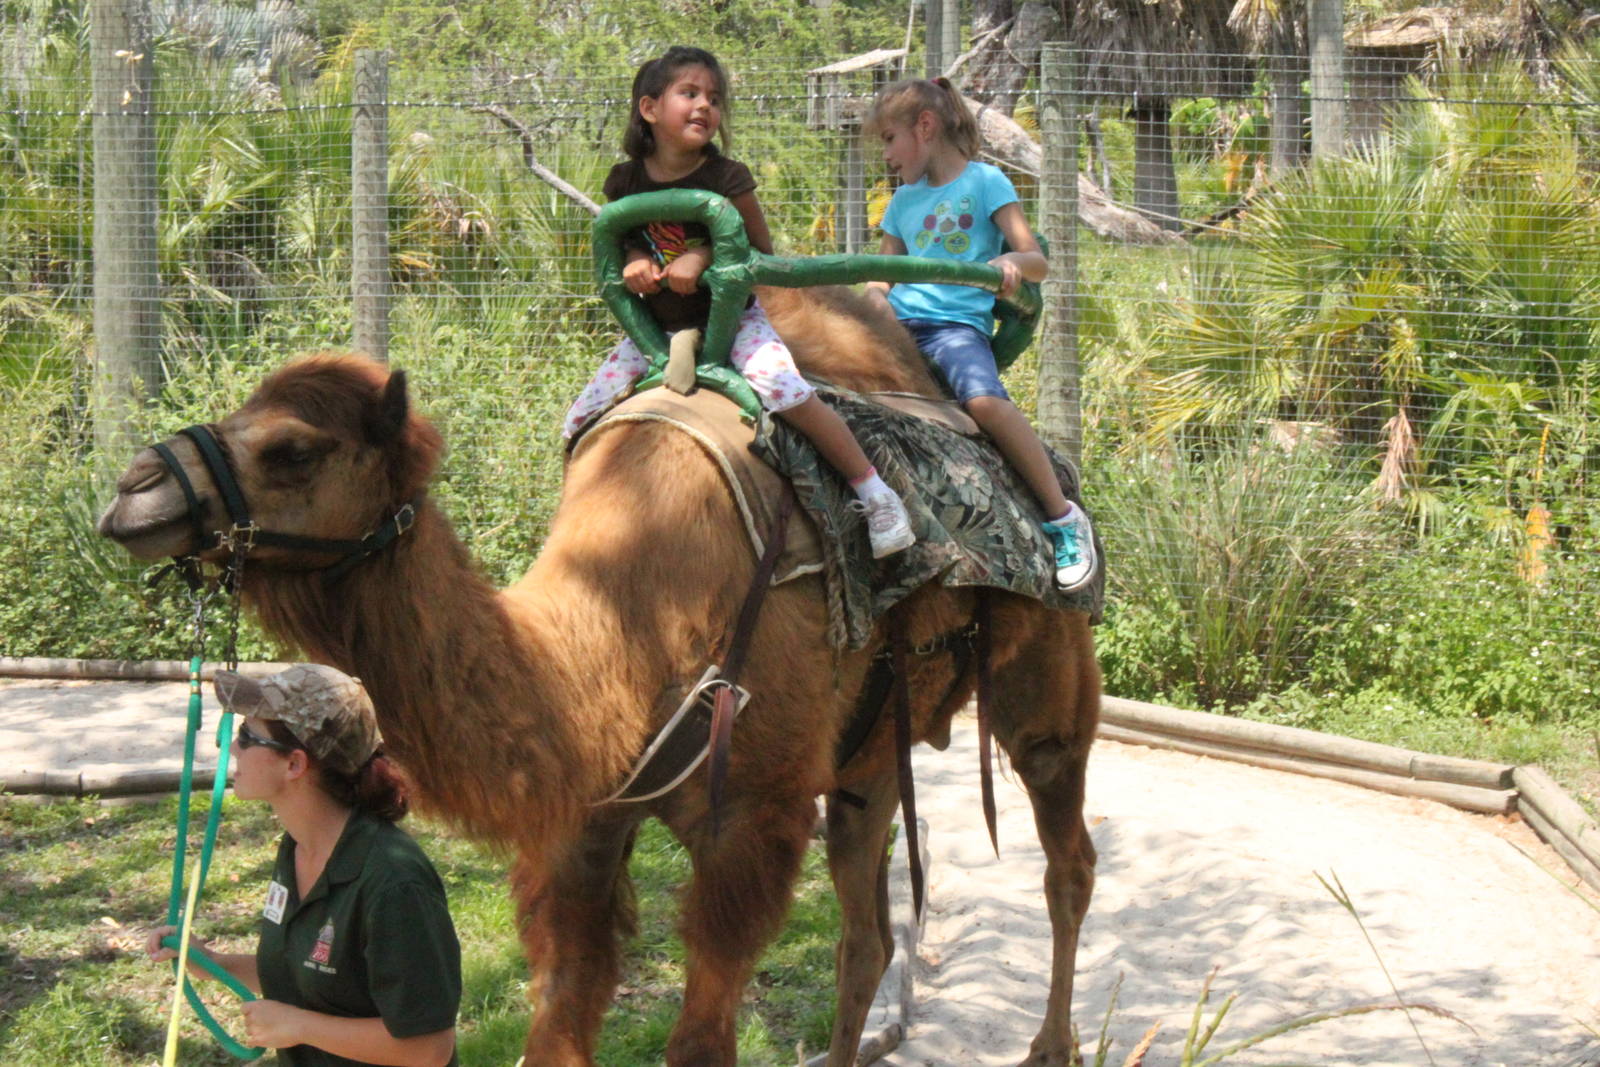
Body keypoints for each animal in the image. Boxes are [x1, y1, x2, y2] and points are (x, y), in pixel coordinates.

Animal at [97, 283, 1101, 1067]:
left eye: (294, 450)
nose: (132, 490)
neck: (623, 624)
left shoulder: (753, 821)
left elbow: (700, 1038)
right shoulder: (583, 822)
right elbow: (561, 1019)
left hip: (1050, 671)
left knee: (1067, 855)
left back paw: (1050, 1041)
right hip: (864, 760)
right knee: (869, 929)